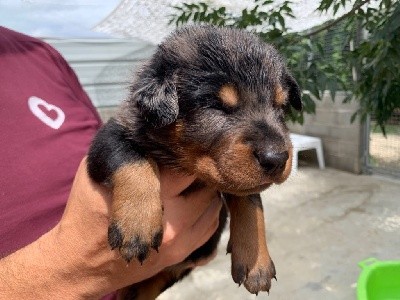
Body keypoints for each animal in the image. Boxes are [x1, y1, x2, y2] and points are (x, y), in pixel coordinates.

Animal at [86, 24, 300, 298]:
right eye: (217, 107)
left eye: (280, 106)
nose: (277, 158)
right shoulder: (109, 135)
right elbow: (130, 159)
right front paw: (138, 223)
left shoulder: (237, 179)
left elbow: (251, 201)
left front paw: (256, 261)